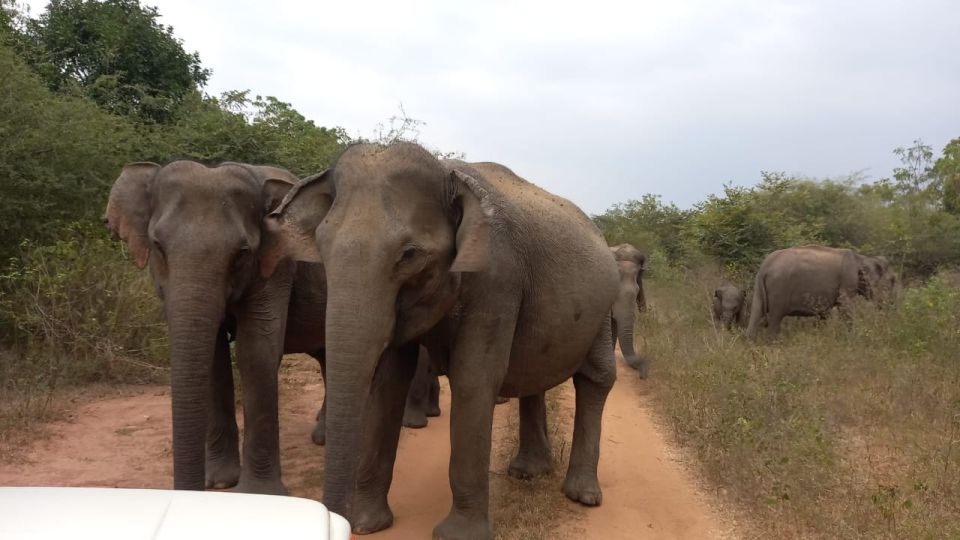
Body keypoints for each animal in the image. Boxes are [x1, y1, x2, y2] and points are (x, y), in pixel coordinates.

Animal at [260, 143, 624, 540]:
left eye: (409, 255)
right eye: (321, 247)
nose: (342, 523)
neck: (446, 173)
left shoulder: (497, 279)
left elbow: (473, 380)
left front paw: (457, 536)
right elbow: (389, 382)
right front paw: (368, 524)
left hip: (605, 307)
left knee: (596, 378)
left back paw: (582, 496)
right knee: (535, 375)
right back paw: (528, 473)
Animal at [748, 245, 896, 338]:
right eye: (893, 280)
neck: (861, 257)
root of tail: (765, 266)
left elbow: (823, 313)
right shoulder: (847, 280)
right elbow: (845, 305)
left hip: (759, 289)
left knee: (755, 314)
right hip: (779, 289)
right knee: (775, 319)